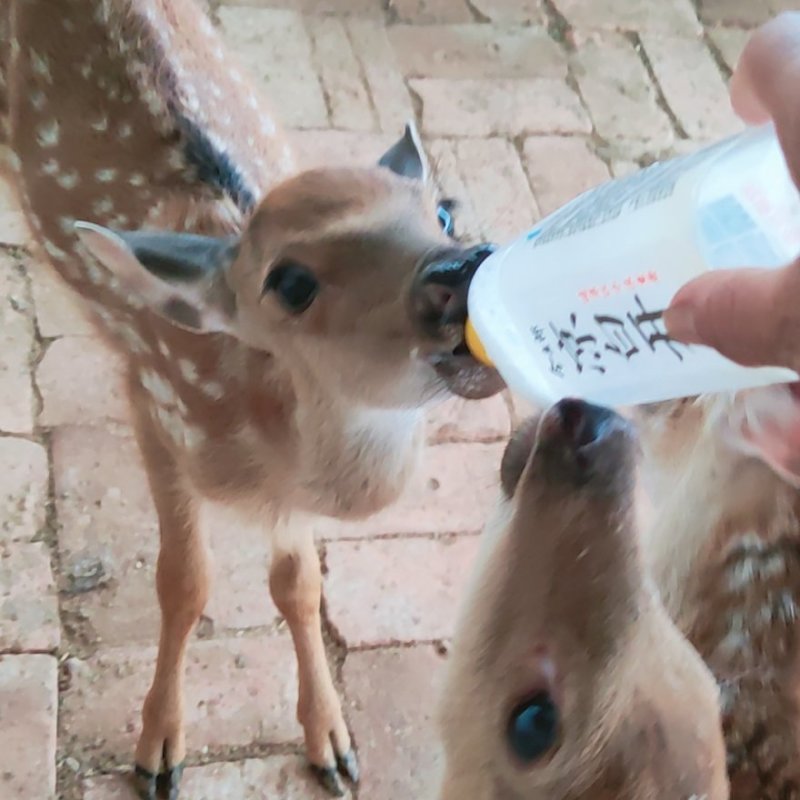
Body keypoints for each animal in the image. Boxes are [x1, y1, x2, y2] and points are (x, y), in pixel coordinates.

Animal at [2, 1, 504, 797]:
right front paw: (159, 749)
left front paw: (332, 743)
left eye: (445, 212)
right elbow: (184, 581)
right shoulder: (151, 399)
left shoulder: (289, 502)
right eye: (291, 282)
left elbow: (298, 585)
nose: (463, 269)